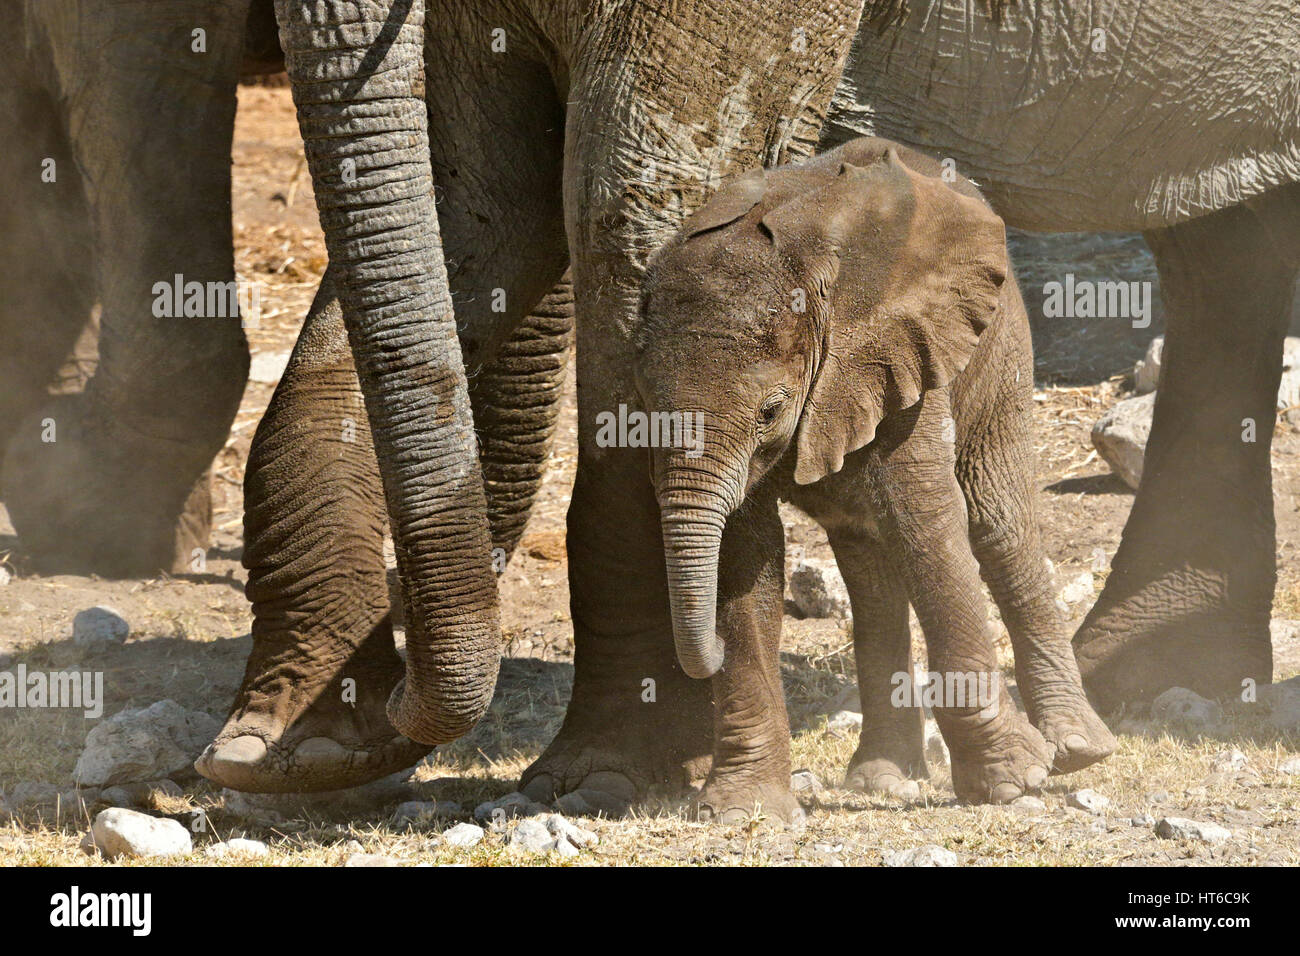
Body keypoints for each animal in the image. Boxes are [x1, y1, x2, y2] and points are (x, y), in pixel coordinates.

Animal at [634, 136, 1112, 822]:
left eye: (771, 410)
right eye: (642, 403)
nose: (706, 657)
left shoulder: (902, 352)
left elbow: (928, 520)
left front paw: (1012, 781)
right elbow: (745, 551)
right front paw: (743, 811)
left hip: (1000, 345)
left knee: (998, 526)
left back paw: (1077, 751)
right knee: (868, 556)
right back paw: (883, 780)